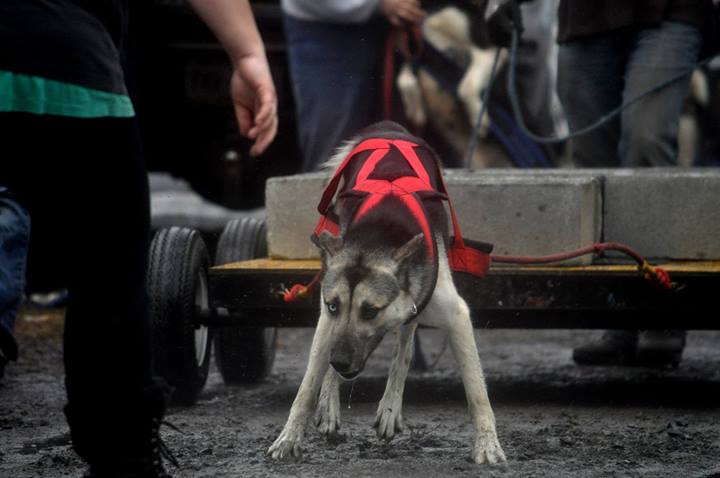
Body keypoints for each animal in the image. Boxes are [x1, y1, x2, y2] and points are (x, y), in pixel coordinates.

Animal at [270, 121, 506, 464]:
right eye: (334, 306)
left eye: (370, 311)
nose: (340, 362)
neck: (377, 238)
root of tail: (389, 128)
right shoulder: (327, 318)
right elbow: (307, 386)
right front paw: (289, 437)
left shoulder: (455, 315)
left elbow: (477, 394)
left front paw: (487, 445)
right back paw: (331, 402)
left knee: (404, 347)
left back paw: (390, 405)